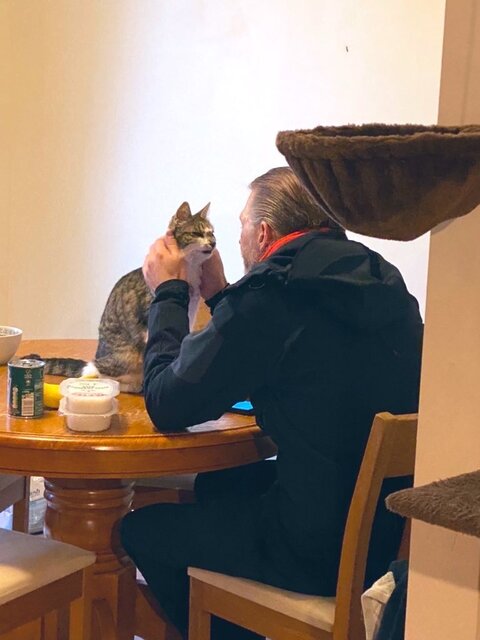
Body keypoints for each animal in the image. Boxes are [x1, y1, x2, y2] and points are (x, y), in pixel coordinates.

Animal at [27, 202, 215, 393]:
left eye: (211, 232)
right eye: (196, 233)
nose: (213, 242)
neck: (190, 271)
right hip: (125, 356)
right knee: (98, 372)